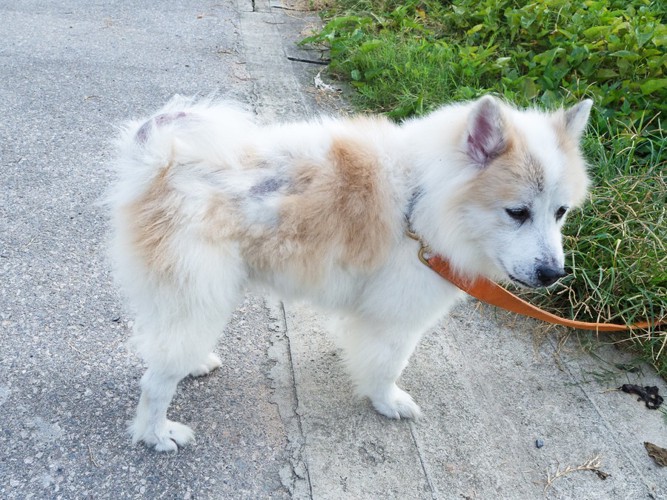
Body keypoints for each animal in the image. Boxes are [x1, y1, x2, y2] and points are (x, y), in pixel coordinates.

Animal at [107, 93, 592, 450]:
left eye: (561, 212)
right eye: (517, 212)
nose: (553, 273)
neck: (422, 200)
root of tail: (164, 162)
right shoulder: (395, 319)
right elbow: (387, 366)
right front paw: (387, 401)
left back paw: (193, 364)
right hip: (199, 296)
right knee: (155, 382)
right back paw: (157, 434)